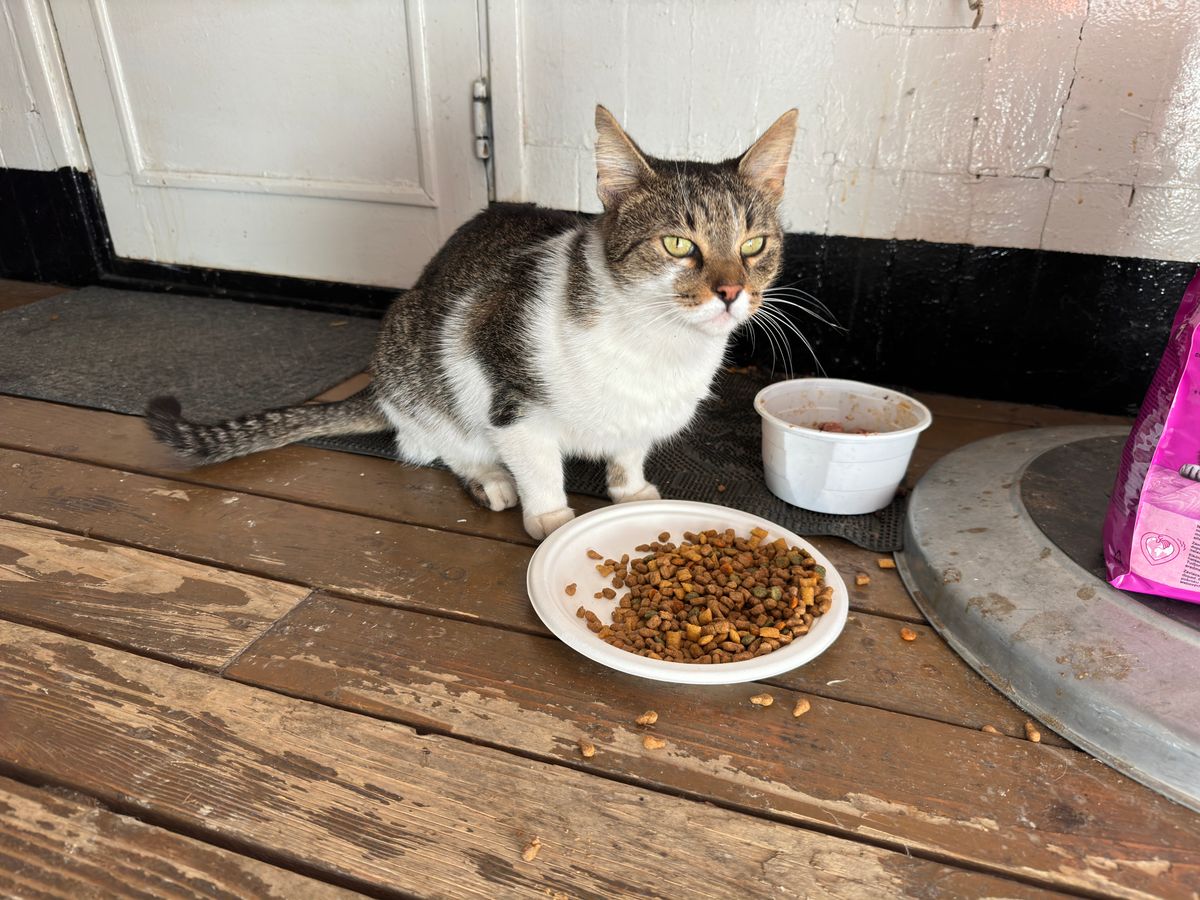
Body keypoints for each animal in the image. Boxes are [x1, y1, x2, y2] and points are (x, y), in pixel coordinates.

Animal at [147, 105, 796, 542]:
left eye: (754, 244)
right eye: (678, 244)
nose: (731, 292)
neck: (658, 346)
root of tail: (379, 390)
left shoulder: (642, 416)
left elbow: (630, 450)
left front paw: (629, 489)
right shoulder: (506, 395)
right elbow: (537, 463)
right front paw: (551, 517)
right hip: (416, 364)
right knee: (432, 443)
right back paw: (489, 478)